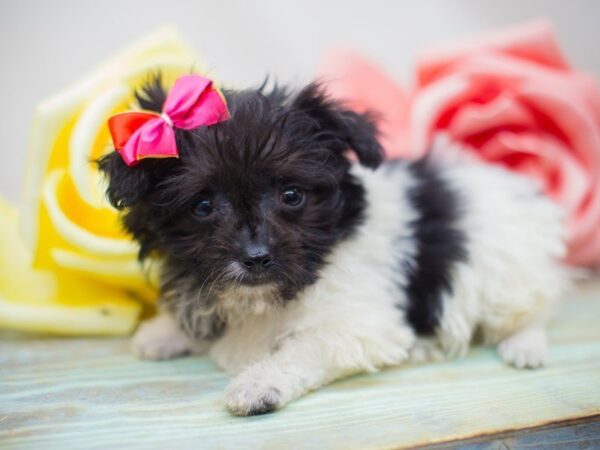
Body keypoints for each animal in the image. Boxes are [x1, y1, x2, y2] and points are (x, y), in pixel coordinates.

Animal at [99, 76, 572, 414]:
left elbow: (305, 348)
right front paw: (165, 332)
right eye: (202, 206)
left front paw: (258, 383)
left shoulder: (360, 323)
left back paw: (524, 347)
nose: (256, 258)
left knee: (537, 310)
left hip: (508, 280)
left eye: (292, 195)